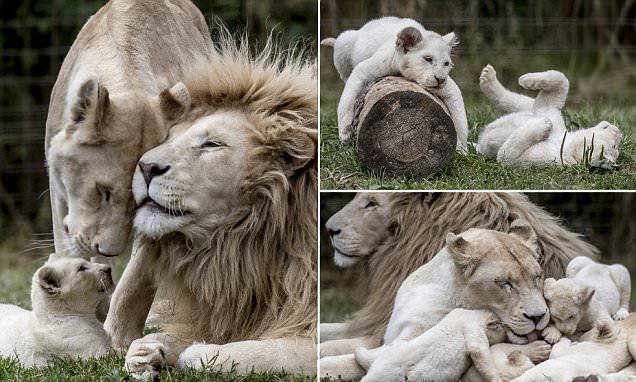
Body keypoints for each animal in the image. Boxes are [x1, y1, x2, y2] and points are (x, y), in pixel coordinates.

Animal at [105, 32, 320, 376]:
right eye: (169, 138)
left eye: (212, 144)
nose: (146, 167)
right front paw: (150, 348)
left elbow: (262, 352)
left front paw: (198, 353)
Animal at [322, 16, 468, 151]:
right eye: (428, 59)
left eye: (446, 64)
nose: (440, 79)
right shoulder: (361, 72)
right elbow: (346, 101)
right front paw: (345, 134)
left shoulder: (451, 89)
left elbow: (461, 120)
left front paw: (461, 150)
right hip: (344, 40)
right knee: (345, 77)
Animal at [476, 64, 620, 166]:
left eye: (614, 146)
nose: (619, 131)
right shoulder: (549, 111)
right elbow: (560, 80)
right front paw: (526, 80)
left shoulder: (539, 159)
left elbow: (506, 155)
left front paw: (542, 124)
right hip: (528, 109)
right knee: (521, 102)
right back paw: (488, 78)